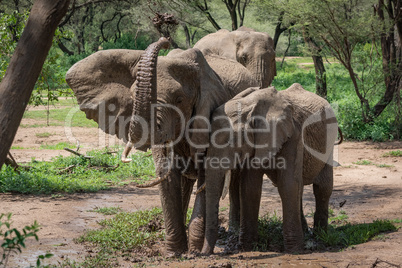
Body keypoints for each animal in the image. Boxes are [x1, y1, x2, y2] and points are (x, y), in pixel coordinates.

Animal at [65, 37, 258, 255]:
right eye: (132, 98)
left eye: (179, 100)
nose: (164, 40)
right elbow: (168, 174)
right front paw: (175, 252)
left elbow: (205, 175)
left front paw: (193, 251)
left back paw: (232, 231)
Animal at [201, 83, 340, 253]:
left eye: (230, 141)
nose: (202, 254)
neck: (249, 107)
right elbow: (250, 188)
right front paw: (246, 247)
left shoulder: (293, 136)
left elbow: (287, 184)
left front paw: (294, 250)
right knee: (300, 187)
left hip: (329, 143)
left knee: (322, 187)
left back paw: (320, 236)